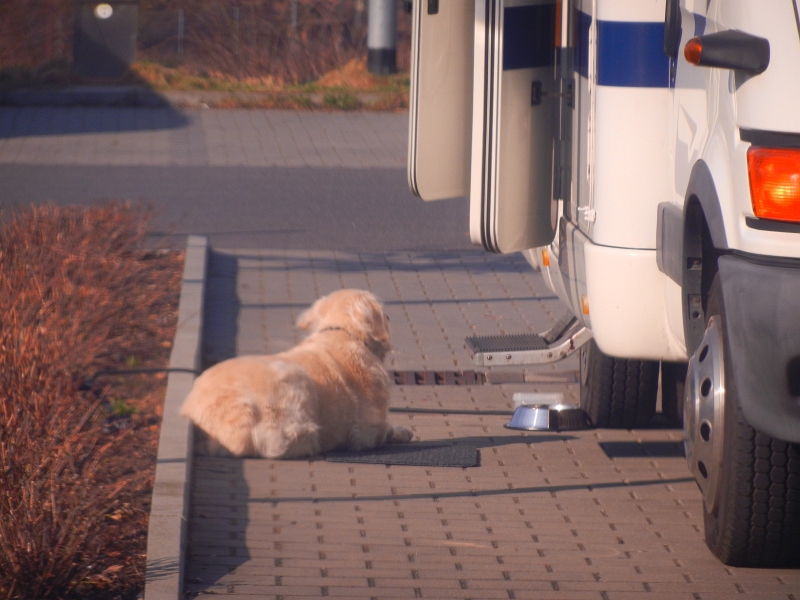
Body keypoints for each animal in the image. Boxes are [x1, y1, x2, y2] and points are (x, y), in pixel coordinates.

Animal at [178, 288, 410, 458]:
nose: (389, 317)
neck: (344, 333)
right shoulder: (367, 430)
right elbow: (386, 429)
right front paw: (401, 431)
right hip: (293, 375)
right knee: (277, 445)